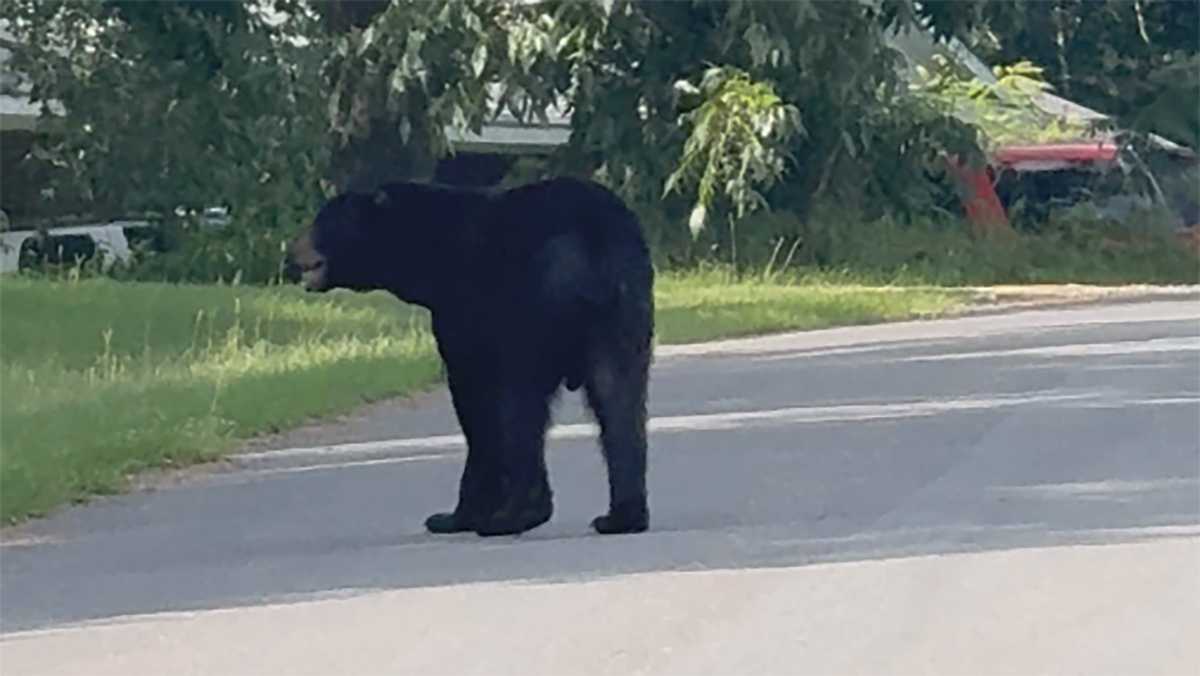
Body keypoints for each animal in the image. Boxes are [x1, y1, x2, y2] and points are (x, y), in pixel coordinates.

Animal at [286, 176, 654, 537]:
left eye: (322, 220)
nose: (292, 250)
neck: (425, 248)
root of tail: (592, 241)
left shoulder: (464, 313)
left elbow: (475, 402)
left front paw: (456, 516)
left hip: (532, 313)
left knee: (521, 403)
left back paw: (515, 515)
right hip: (621, 314)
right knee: (619, 398)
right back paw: (623, 516)